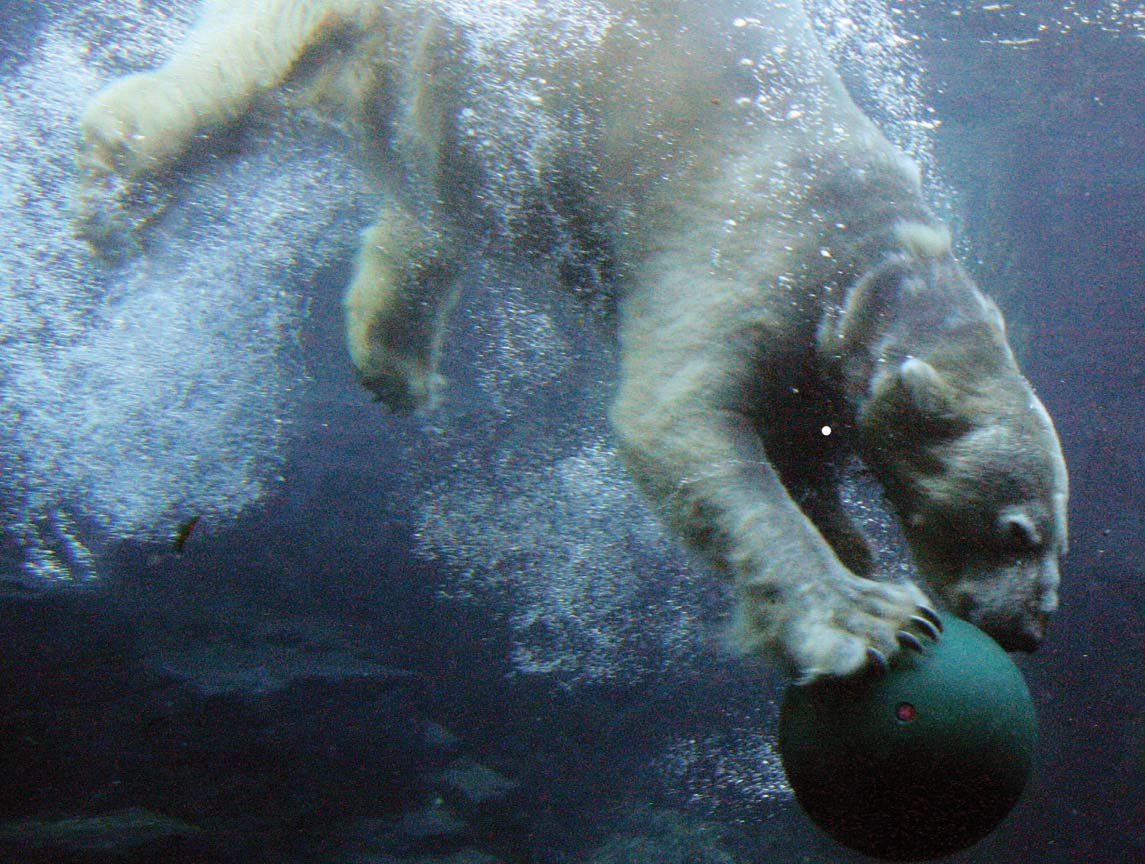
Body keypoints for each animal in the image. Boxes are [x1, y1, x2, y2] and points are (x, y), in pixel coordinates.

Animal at [76, 0, 1067, 682]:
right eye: (1016, 529)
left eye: (1058, 536)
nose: (1029, 631)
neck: (871, 267)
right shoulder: (750, 254)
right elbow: (683, 428)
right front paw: (866, 617)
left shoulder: (806, 355)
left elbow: (795, 454)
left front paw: (857, 559)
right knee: (246, 78)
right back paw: (113, 184)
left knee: (433, 204)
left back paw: (392, 356)